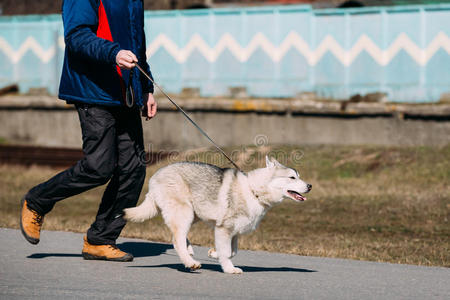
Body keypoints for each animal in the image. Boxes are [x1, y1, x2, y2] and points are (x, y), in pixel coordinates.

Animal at [124, 156, 312, 274]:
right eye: (292, 177)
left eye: (298, 176)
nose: (309, 186)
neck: (254, 191)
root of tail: (155, 176)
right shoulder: (224, 229)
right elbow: (227, 252)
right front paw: (229, 269)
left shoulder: (234, 231)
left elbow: (232, 251)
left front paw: (214, 254)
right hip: (184, 213)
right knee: (176, 240)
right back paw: (190, 262)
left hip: (193, 214)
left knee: (177, 236)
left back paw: (189, 251)